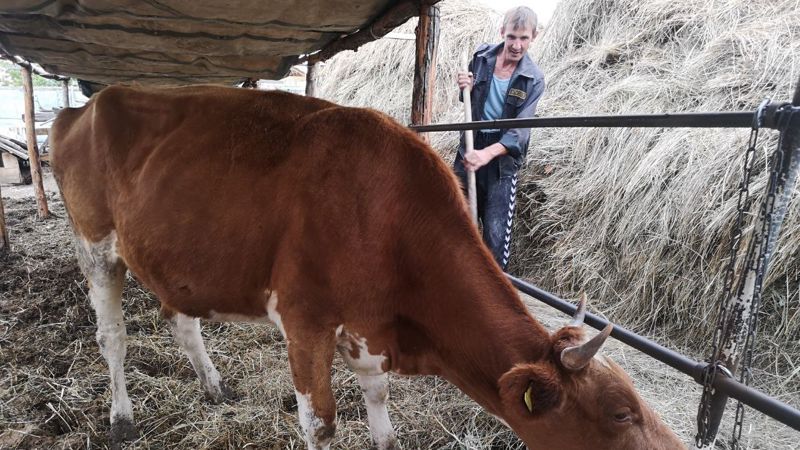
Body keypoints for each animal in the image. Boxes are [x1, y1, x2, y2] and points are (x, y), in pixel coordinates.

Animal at [53, 85, 684, 450]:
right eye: (621, 413)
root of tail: (82, 107)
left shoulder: (370, 329)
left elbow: (380, 413)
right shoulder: (305, 320)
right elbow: (321, 424)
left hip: (174, 259)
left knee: (182, 319)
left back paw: (213, 385)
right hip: (95, 245)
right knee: (112, 337)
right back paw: (121, 418)